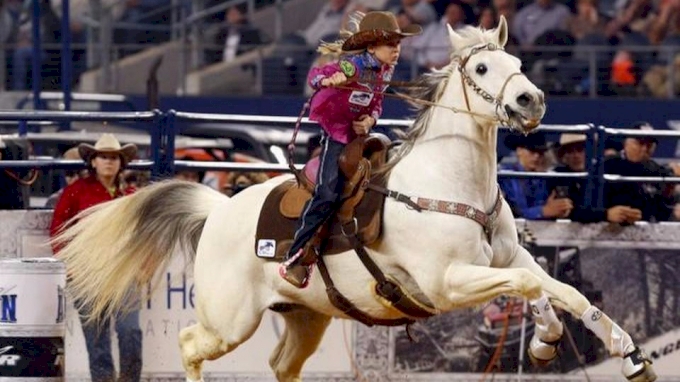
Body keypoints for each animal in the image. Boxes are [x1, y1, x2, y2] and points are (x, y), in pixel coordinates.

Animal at [55, 17, 656, 382]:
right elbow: (532, 287)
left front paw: (618, 351)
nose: (532, 101)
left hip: (304, 317)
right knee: (187, 341)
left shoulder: (512, 256)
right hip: (229, 319)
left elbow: (559, 290)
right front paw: (551, 343)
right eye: (484, 68)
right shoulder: (448, 282)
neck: (447, 185)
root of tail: (219, 208)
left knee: (281, 363)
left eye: (519, 65)